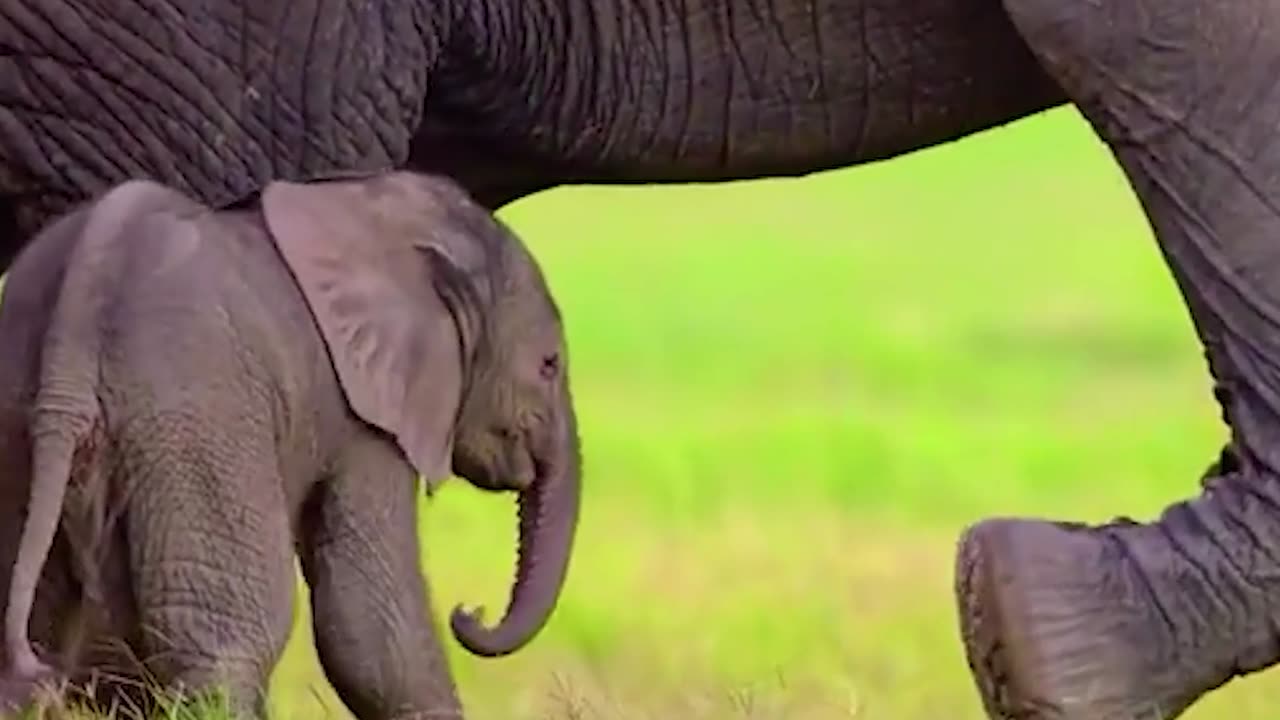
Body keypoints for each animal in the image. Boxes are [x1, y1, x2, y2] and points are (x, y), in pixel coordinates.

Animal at [0, 170, 581, 712]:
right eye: (549, 366)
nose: (470, 613)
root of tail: (73, 339)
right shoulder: (367, 414)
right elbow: (369, 625)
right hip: (199, 424)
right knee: (233, 639)